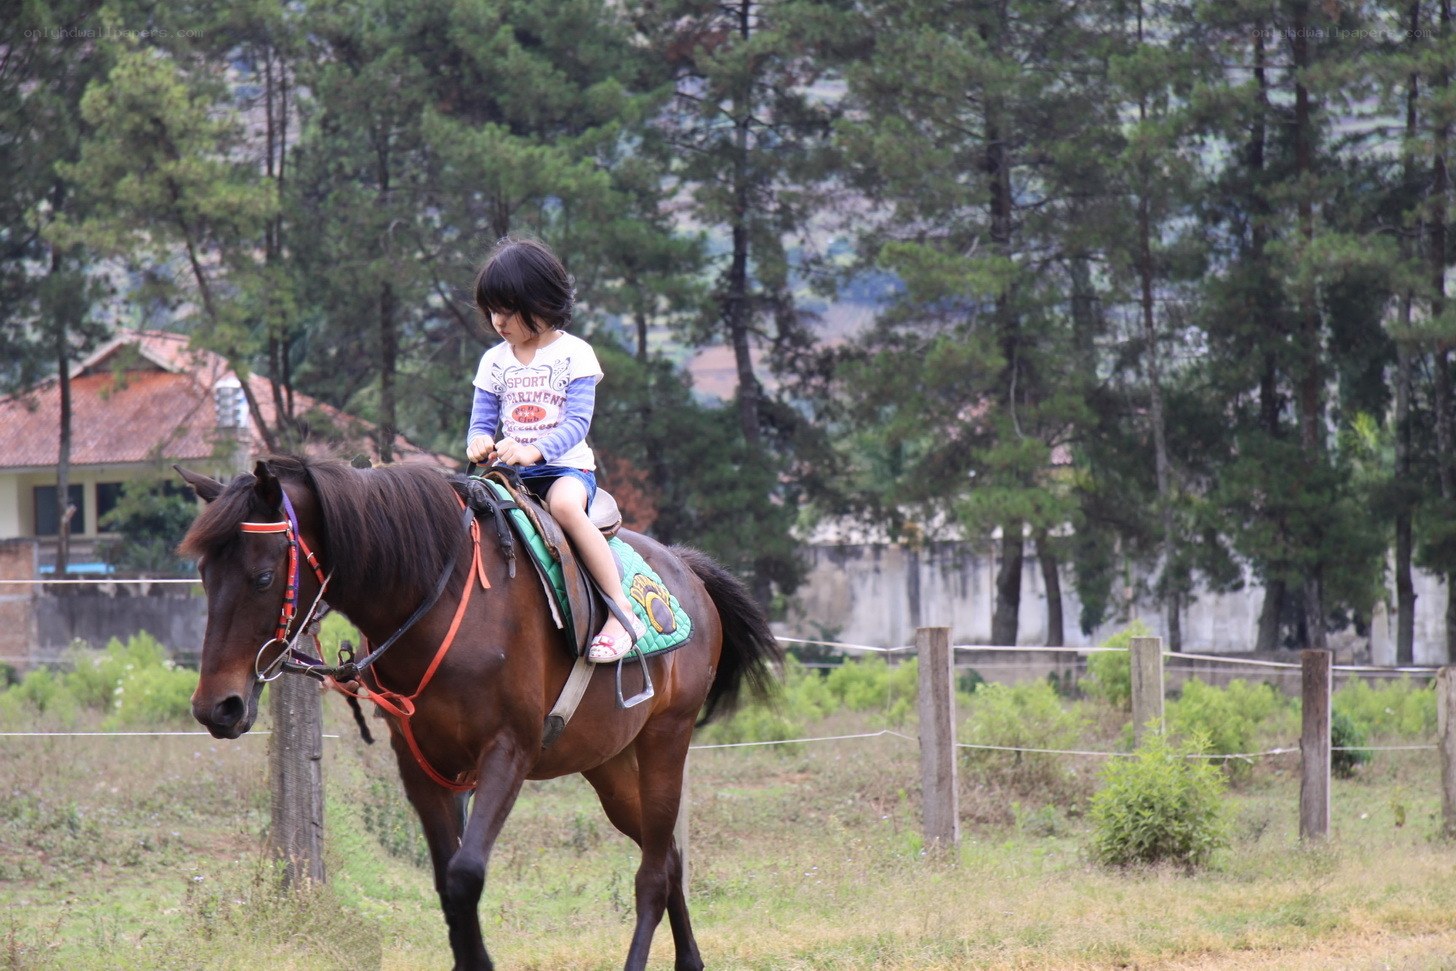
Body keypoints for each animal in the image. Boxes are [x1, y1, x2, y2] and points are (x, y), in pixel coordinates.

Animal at [175, 454, 780, 971]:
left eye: (261, 577)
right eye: (204, 575)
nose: (217, 706)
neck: (439, 605)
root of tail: (686, 569)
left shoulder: (508, 752)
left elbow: (466, 875)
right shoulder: (421, 764)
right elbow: (447, 885)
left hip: (665, 740)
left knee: (653, 873)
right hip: (606, 764)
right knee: (670, 858)